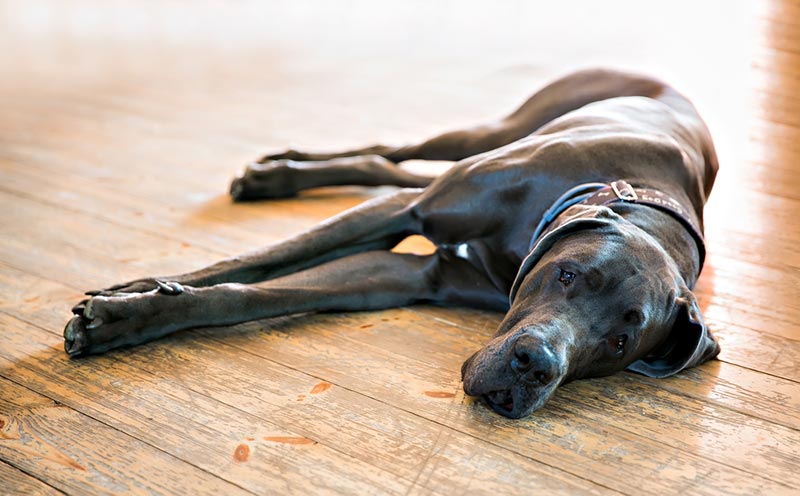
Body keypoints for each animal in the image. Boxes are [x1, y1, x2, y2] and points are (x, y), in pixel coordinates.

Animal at [65, 69, 720, 418]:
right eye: (568, 275)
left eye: (619, 342)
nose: (535, 367)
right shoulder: (408, 212)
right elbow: (264, 259)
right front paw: (130, 296)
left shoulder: (402, 276)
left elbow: (257, 294)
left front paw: (129, 312)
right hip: (494, 130)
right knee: (395, 152)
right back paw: (273, 173)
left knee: (386, 164)